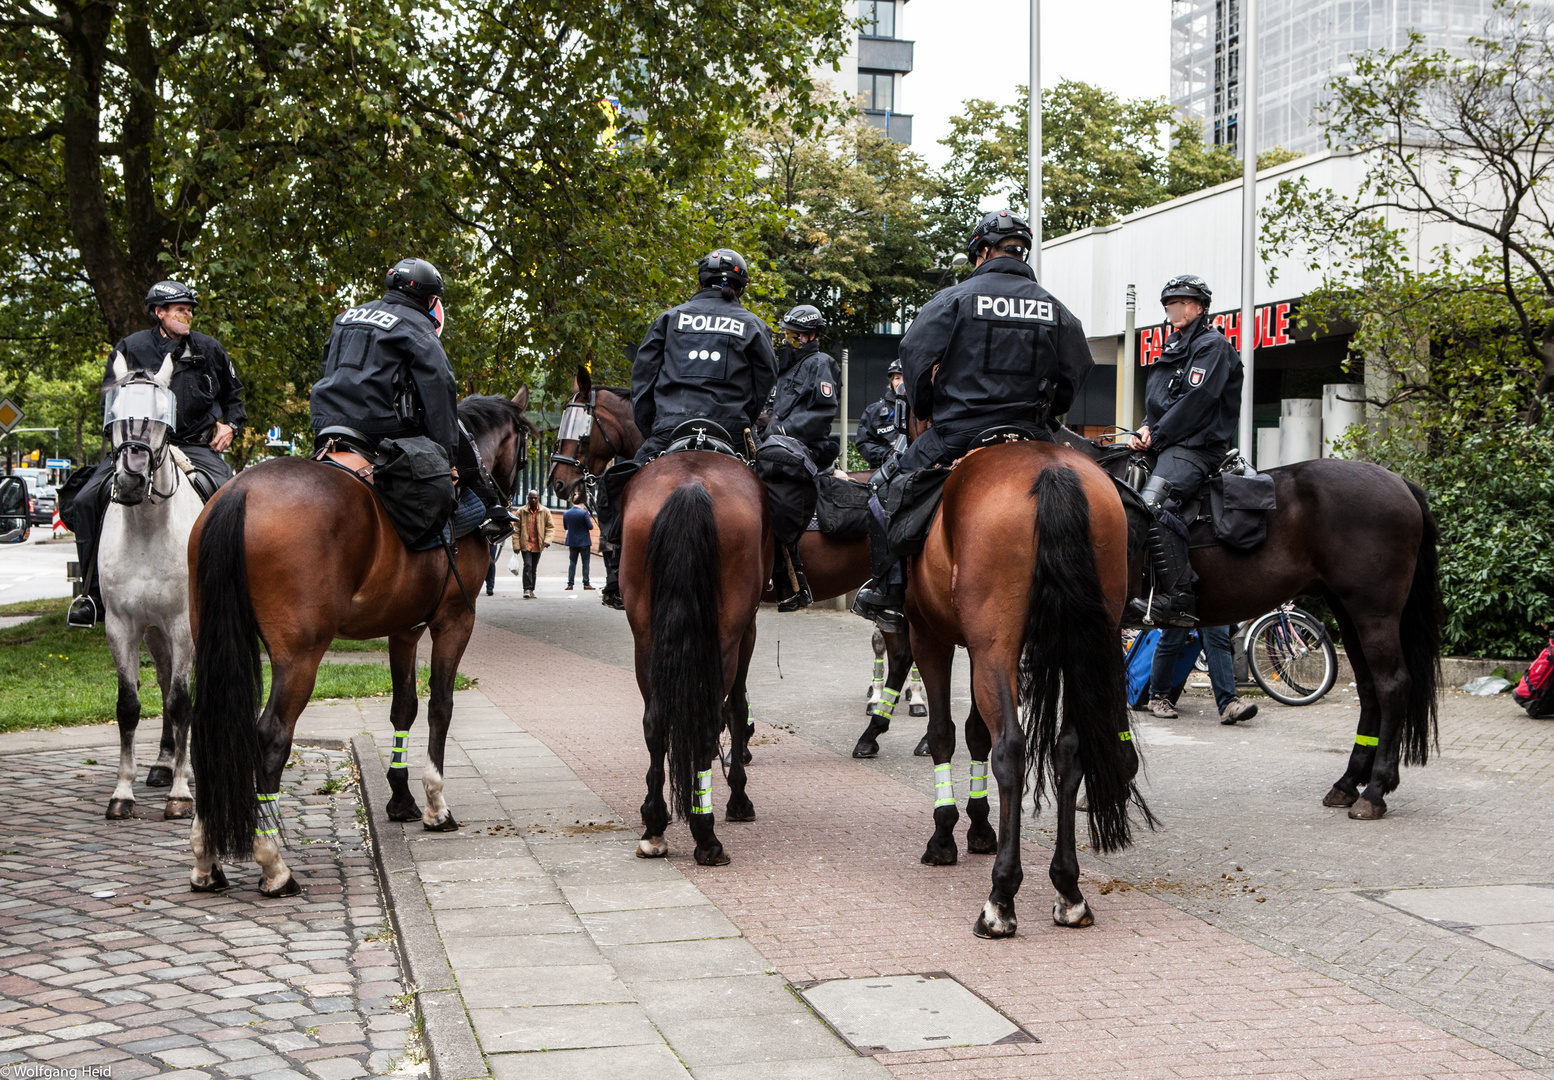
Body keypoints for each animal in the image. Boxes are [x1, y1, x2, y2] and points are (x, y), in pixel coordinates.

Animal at [185, 388, 537, 895]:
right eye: (526, 447)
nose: (512, 508)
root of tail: (240, 491)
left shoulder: (405, 628)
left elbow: (403, 707)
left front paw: (401, 798)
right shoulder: (454, 620)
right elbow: (441, 706)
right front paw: (435, 804)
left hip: (211, 638)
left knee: (204, 731)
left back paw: (205, 858)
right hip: (300, 655)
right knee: (271, 734)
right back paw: (273, 864)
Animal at [615, 450, 767, 864]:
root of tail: (690, 484)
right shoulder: (747, 631)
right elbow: (737, 708)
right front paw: (738, 799)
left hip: (644, 638)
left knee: (654, 722)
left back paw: (654, 826)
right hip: (728, 637)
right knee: (707, 722)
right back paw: (707, 834)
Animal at [901, 444, 1156, 944]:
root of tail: (1050, 468)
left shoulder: (931, 636)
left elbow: (944, 734)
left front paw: (945, 836)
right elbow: (975, 733)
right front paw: (980, 828)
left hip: (995, 641)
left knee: (1011, 749)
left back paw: (1000, 900)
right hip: (1087, 640)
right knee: (1070, 750)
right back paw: (1069, 892)